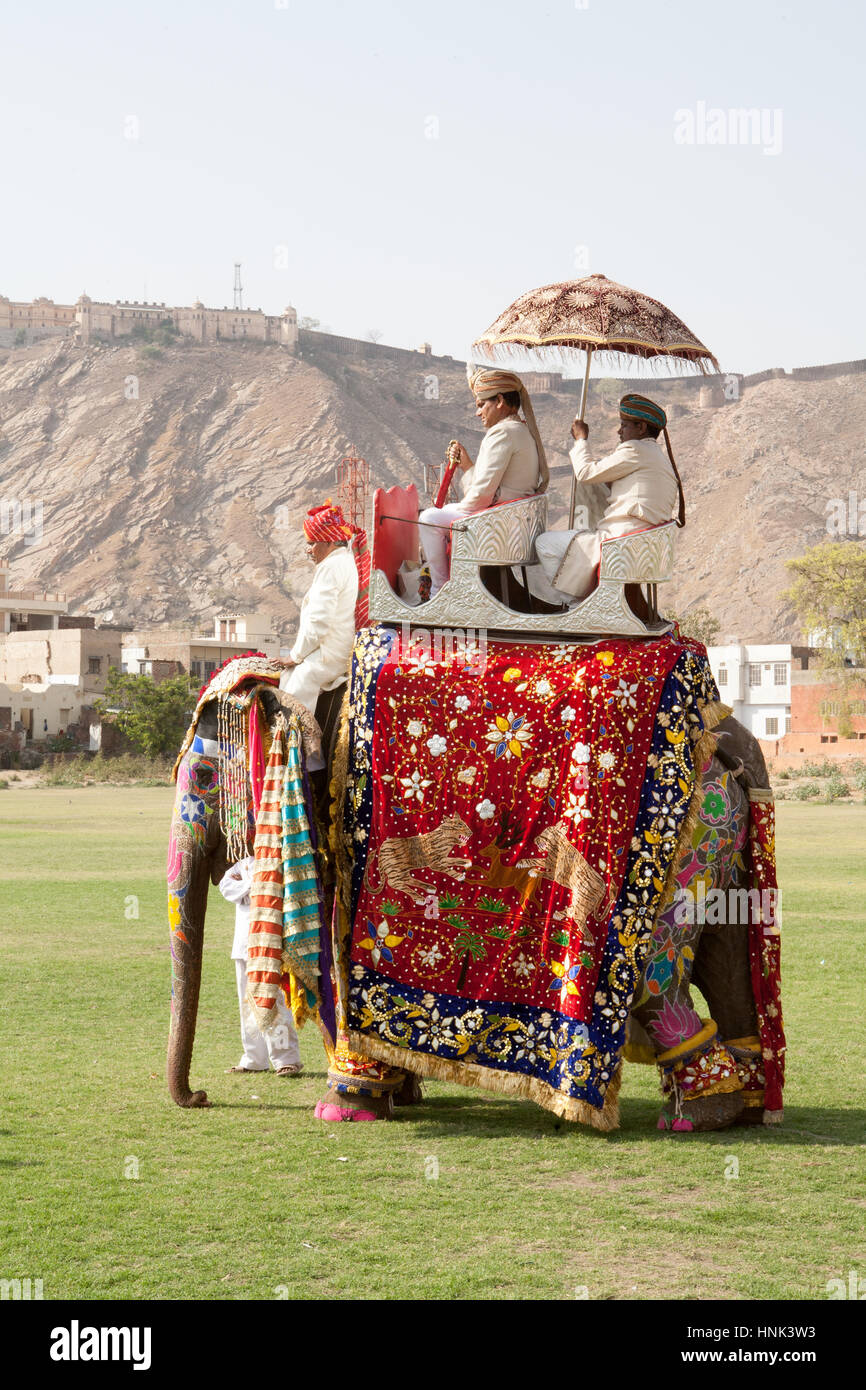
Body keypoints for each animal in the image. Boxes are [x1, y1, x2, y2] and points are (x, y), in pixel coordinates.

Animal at [166, 636, 783, 1134]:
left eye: (202, 775)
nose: (199, 1098)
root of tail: (727, 737)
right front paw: (401, 1093)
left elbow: (347, 960)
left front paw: (346, 1106)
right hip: (720, 847)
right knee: (723, 961)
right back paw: (743, 1105)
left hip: (685, 849)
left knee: (660, 982)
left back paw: (694, 1117)